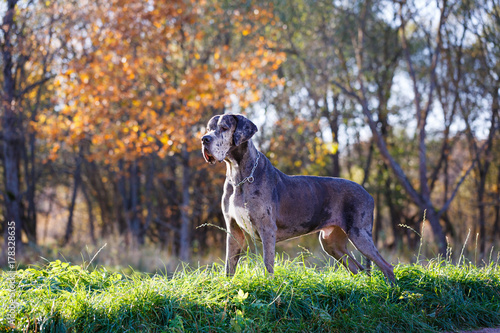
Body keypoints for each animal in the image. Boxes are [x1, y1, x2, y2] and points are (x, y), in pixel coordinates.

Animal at [200, 113, 394, 282]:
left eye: (224, 128)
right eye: (208, 128)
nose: (204, 139)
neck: (239, 176)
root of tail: (368, 194)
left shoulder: (267, 229)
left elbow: (268, 265)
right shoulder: (233, 230)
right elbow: (229, 267)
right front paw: (227, 288)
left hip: (359, 233)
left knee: (387, 266)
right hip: (331, 243)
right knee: (358, 268)